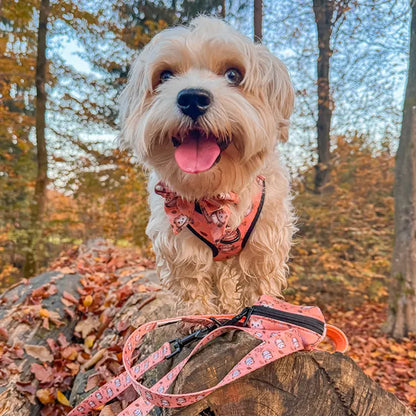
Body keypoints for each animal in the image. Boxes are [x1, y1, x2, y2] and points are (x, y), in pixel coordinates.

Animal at [118, 17, 296, 316]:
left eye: (233, 75)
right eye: (164, 76)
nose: (192, 98)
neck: (215, 193)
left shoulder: (263, 247)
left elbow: (258, 289)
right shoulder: (181, 250)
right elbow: (194, 295)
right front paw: (198, 319)